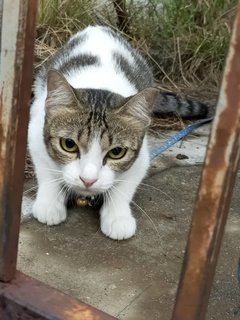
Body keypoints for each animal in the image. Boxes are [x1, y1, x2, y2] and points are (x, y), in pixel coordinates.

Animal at [28, 25, 208, 240]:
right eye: (69, 145)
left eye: (117, 152)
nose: (88, 180)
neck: (98, 83)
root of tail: (98, 27)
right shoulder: (35, 132)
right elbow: (46, 171)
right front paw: (49, 203)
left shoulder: (141, 156)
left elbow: (126, 186)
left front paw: (117, 217)